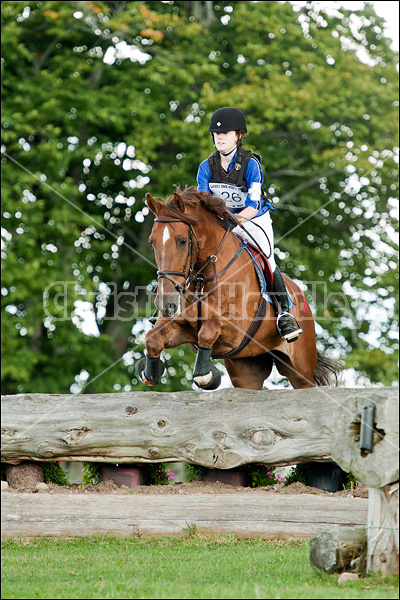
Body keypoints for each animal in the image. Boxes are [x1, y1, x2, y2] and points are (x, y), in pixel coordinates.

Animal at [137, 186, 340, 390]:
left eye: (182, 241)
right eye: (152, 242)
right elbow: (152, 338)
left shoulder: (236, 330)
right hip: (247, 369)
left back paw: (287, 324)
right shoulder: (180, 326)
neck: (204, 277)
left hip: (300, 370)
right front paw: (149, 373)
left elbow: (208, 330)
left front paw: (206, 376)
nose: (166, 304)